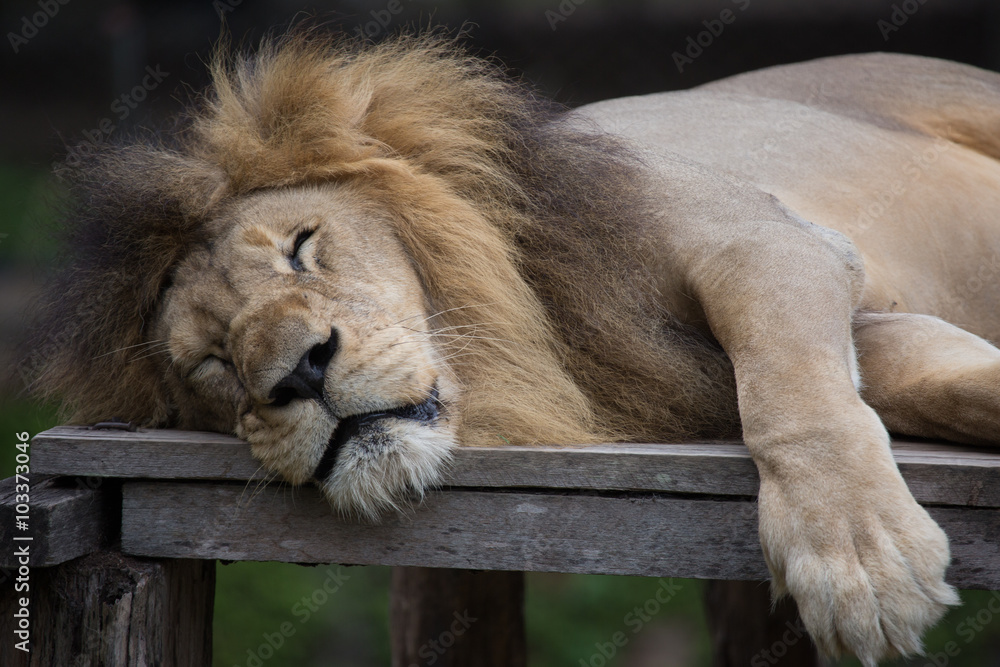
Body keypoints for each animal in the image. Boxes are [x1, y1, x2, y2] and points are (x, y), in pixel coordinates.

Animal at [28, 32, 1000, 665]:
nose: (299, 369)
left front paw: (863, 565)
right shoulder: (843, 325)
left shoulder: (766, 243)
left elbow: (794, 401)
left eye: (302, 245)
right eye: (209, 362)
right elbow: (901, 381)